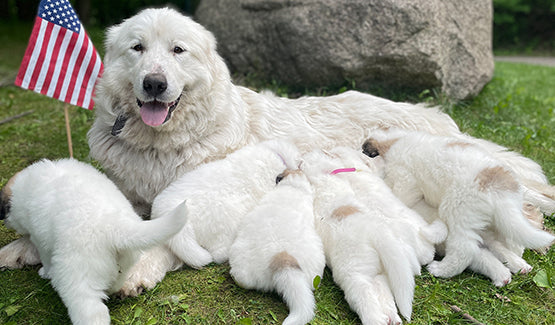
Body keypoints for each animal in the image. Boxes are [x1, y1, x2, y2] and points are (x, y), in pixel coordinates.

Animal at [0, 159, 187, 324]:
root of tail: (114, 226)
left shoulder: (41, 239)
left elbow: (45, 258)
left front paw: (45, 272)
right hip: (124, 264)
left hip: (77, 278)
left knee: (92, 312)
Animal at [302, 149, 420, 324]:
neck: (325, 174)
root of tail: (378, 233)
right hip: (379, 273)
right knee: (383, 294)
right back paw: (393, 319)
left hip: (355, 275)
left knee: (367, 301)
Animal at [362, 129, 552, 286]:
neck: (392, 142)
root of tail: (497, 190)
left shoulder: (405, 177)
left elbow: (399, 192)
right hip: (501, 219)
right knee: (507, 240)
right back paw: (518, 263)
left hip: (458, 211)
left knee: (465, 249)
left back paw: (440, 270)